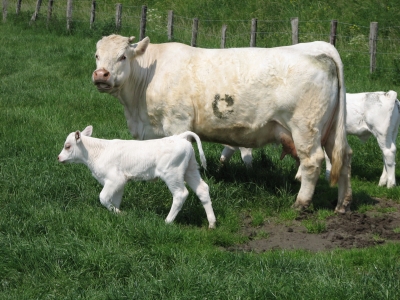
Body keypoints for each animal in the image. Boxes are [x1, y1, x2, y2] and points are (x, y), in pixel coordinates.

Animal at [57, 125, 216, 229]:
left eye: (67, 146)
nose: (58, 158)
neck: (96, 153)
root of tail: (180, 137)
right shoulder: (120, 182)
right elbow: (115, 200)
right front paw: (116, 214)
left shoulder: (114, 179)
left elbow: (103, 197)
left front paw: (120, 213)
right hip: (190, 169)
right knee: (202, 189)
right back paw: (212, 223)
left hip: (172, 173)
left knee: (180, 194)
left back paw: (167, 221)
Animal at [92, 34, 352, 213]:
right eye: (97, 56)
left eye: (122, 56)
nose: (101, 74)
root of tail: (321, 53)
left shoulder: (177, 123)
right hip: (330, 130)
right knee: (344, 157)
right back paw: (342, 203)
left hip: (305, 128)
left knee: (312, 162)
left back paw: (301, 202)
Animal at [222, 90, 400, 188]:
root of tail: (388, 94)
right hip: (390, 134)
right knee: (387, 155)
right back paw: (383, 181)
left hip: (381, 132)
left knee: (388, 153)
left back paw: (390, 183)